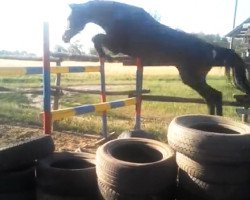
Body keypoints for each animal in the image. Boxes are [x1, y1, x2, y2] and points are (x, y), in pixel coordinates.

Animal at [62, 0, 250, 115]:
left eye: (71, 17)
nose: (65, 37)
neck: (117, 17)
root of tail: (211, 49)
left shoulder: (117, 45)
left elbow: (96, 38)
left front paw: (104, 56)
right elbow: (97, 38)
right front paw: (104, 56)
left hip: (192, 77)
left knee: (214, 96)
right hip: (193, 79)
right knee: (213, 97)